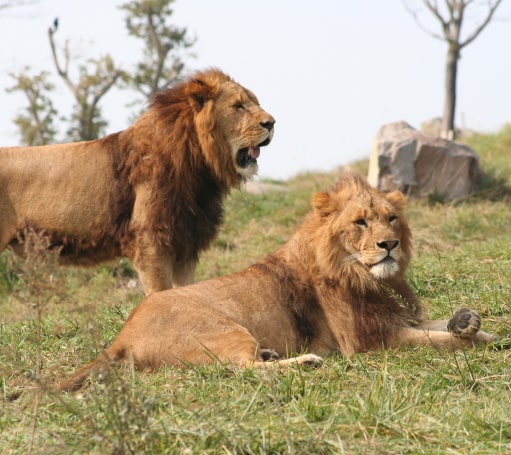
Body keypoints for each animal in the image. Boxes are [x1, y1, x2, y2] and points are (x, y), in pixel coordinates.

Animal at [0, 69, 276, 294]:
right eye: (238, 106)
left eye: (257, 102)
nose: (272, 123)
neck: (199, 165)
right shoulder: (150, 244)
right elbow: (159, 293)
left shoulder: (185, 244)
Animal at [60, 173, 496, 390]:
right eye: (360, 223)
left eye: (391, 218)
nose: (389, 244)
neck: (372, 277)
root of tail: (122, 336)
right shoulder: (369, 342)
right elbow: (438, 341)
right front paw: (481, 341)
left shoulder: (398, 318)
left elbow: (439, 325)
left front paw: (469, 323)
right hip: (225, 329)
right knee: (238, 369)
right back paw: (306, 363)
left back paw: (274, 355)